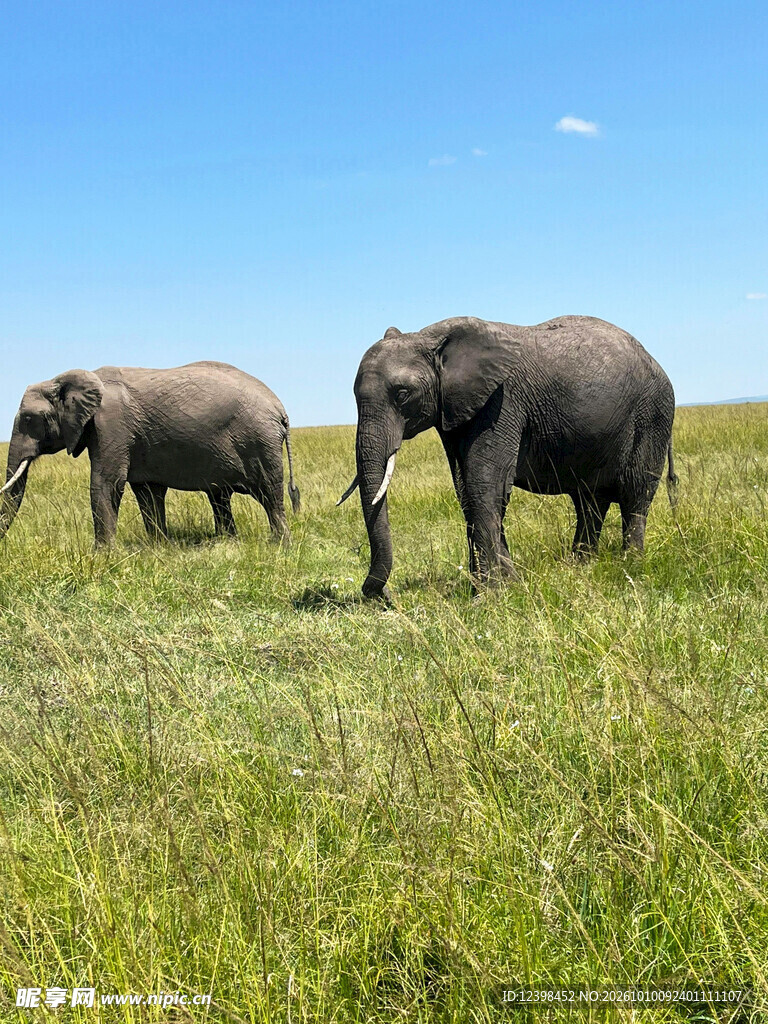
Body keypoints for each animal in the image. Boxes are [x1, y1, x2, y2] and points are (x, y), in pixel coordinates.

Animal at [1, 361, 300, 546]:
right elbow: (147, 492)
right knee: (219, 496)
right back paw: (228, 541)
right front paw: (159, 547)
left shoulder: (112, 426)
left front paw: (102, 556)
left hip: (259, 441)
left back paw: (279, 545)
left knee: (269, 493)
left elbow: (106, 484)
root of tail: (280, 409)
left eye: (28, 419)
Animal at [339, 315, 677, 598]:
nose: (384, 596)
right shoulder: (454, 410)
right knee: (589, 502)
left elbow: (485, 485)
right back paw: (581, 565)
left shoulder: (501, 402)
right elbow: (466, 490)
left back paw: (631, 565)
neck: (429, 337)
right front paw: (505, 584)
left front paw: (489, 596)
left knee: (635, 493)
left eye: (402, 394)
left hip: (653, 414)